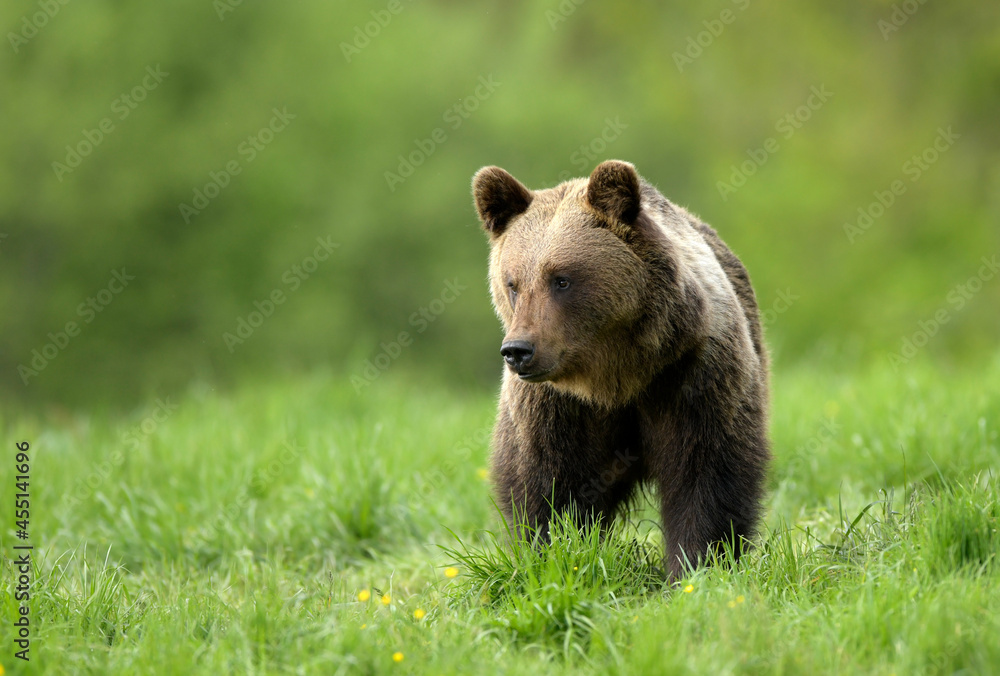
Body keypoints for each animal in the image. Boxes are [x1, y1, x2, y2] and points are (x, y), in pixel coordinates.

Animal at [471, 160, 770, 580]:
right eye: (513, 283)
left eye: (561, 279)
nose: (518, 351)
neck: (616, 378)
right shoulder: (556, 406)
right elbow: (546, 485)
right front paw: (549, 558)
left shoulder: (691, 375)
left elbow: (705, 473)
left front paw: (696, 566)